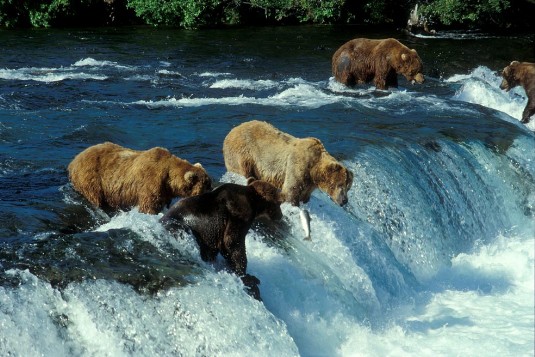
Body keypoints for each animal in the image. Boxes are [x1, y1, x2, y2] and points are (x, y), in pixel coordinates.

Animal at [69, 142, 214, 214]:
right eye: (207, 185)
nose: (213, 189)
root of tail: (74, 160)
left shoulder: (165, 191)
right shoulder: (151, 181)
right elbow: (148, 204)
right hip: (91, 177)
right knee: (94, 195)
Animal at [223, 120, 354, 206]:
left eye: (348, 187)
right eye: (340, 185)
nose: (344, 201)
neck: (314, 170)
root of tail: (232, 130)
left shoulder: (309, 184)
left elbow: (304, 196)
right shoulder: (298, 166)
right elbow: (291, 192)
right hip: (243, 154)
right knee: (242, 170)